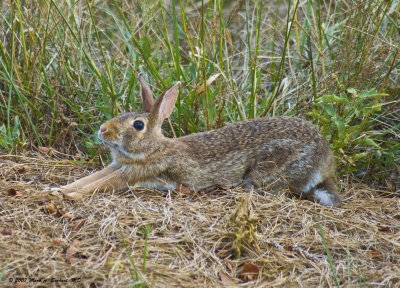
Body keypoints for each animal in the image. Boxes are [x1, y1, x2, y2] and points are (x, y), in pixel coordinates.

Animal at [58, 73, 340, 206]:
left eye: (138, 125)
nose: (102, 130)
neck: (154, 149)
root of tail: (325, 157)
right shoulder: (117, 165)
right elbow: (90, 179)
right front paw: (57, 189)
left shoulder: (134, 172)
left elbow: (99, 185)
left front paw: (69, 195)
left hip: (270, 168)